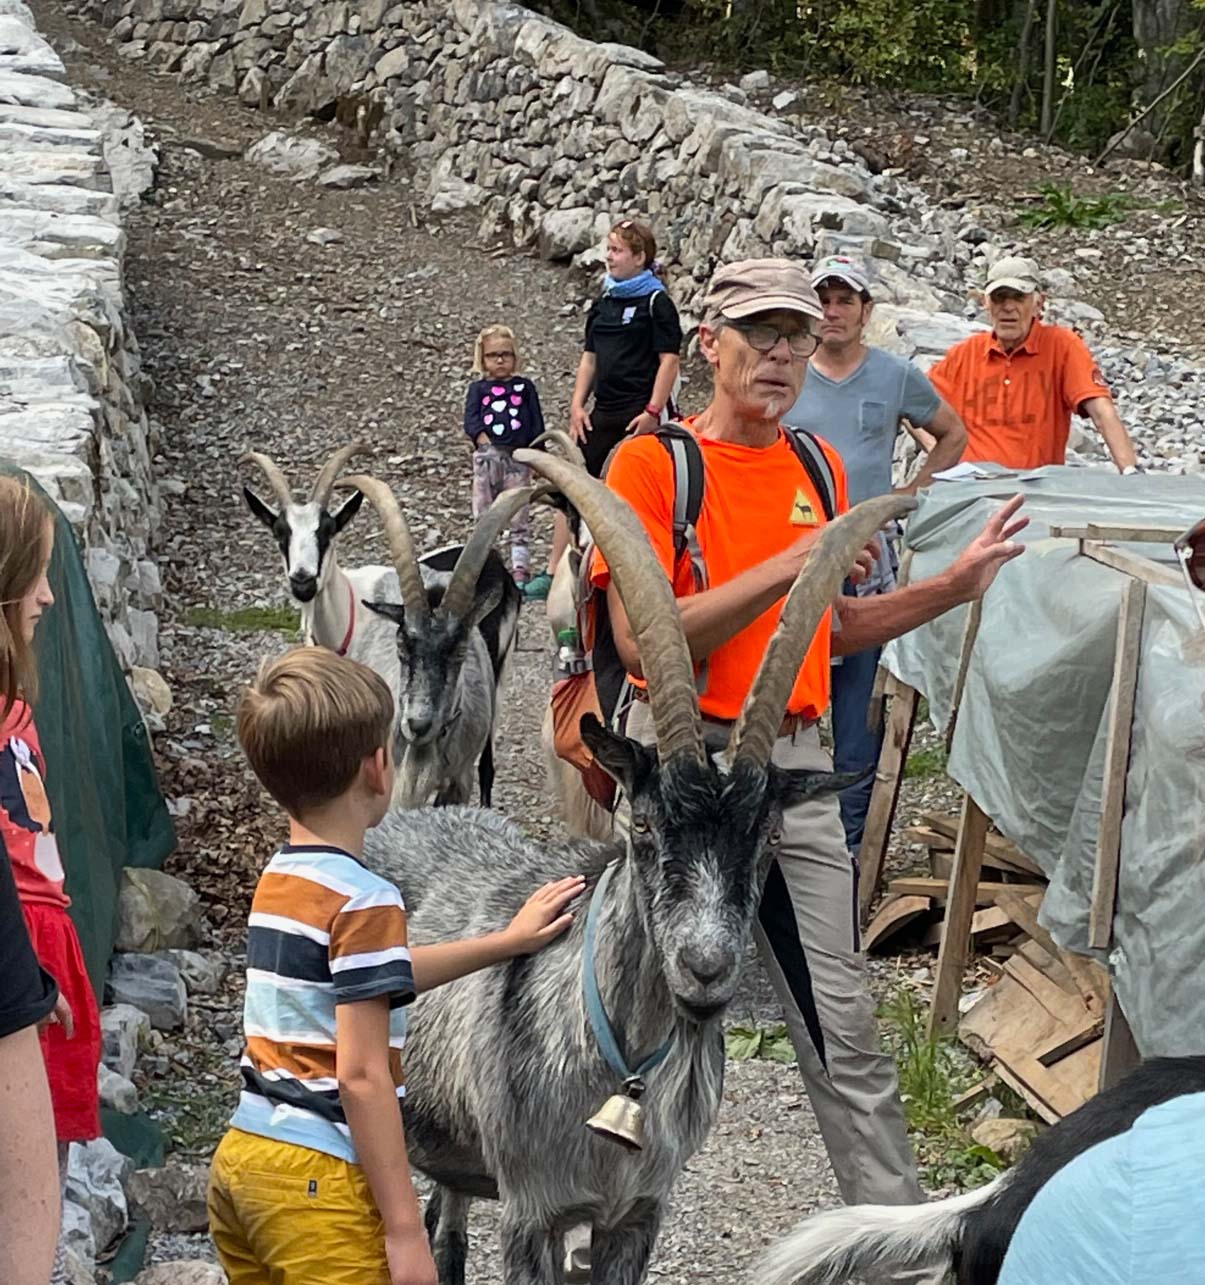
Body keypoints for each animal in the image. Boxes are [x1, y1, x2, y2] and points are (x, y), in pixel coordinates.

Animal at [362, 449, 914, 1285]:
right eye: (645, 825)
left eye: (768, 838)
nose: (706, 967)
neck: (618, 1069)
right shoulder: (531, 1212)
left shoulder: (635, 1214)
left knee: (444, 1221)